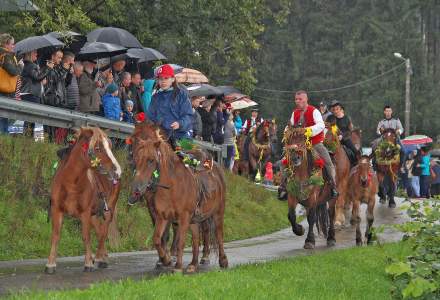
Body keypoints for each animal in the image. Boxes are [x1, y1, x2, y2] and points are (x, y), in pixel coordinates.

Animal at [45, 127, 121, 274]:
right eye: (97, 148)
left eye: (109, 146)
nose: (117, 171)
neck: (70, 183)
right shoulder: (57, 209)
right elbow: (55, 235)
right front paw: (50, 264)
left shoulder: (85, 213)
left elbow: (86, 236)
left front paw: (88, 263)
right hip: (93, 214)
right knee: (99, 230)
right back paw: (102, 256)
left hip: (108, 208)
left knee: (103, 231)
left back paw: (99, 258)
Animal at [130, 123, 227, 274]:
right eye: (136, 158)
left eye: (151, 160)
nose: (136, 189)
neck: (171, 186)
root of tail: (216, 166)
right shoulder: (162, 216)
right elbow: (157, 239)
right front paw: (165, 260)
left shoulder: (184, 217)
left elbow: (180, 240)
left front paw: (177, 266)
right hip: (194, 219)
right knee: (196, 238)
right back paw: (193, 264)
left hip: (217, 213)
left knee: (217, 234)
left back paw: (221, 261)